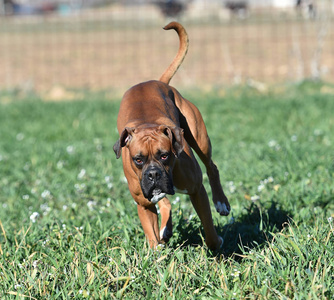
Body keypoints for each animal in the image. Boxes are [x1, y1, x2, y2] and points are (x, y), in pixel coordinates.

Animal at [113, 21, 231, 251]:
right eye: (138, 159)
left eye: (165, 155)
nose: (153, 174)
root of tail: (159, 82)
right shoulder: (144, 205)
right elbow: (152, 237)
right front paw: (157, 251)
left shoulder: (197, 191)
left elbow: (210, 232)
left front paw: (217, 244)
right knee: (165, 202)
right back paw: (165, 229)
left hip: (199, 138)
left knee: (212, 167)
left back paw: (221, 202)